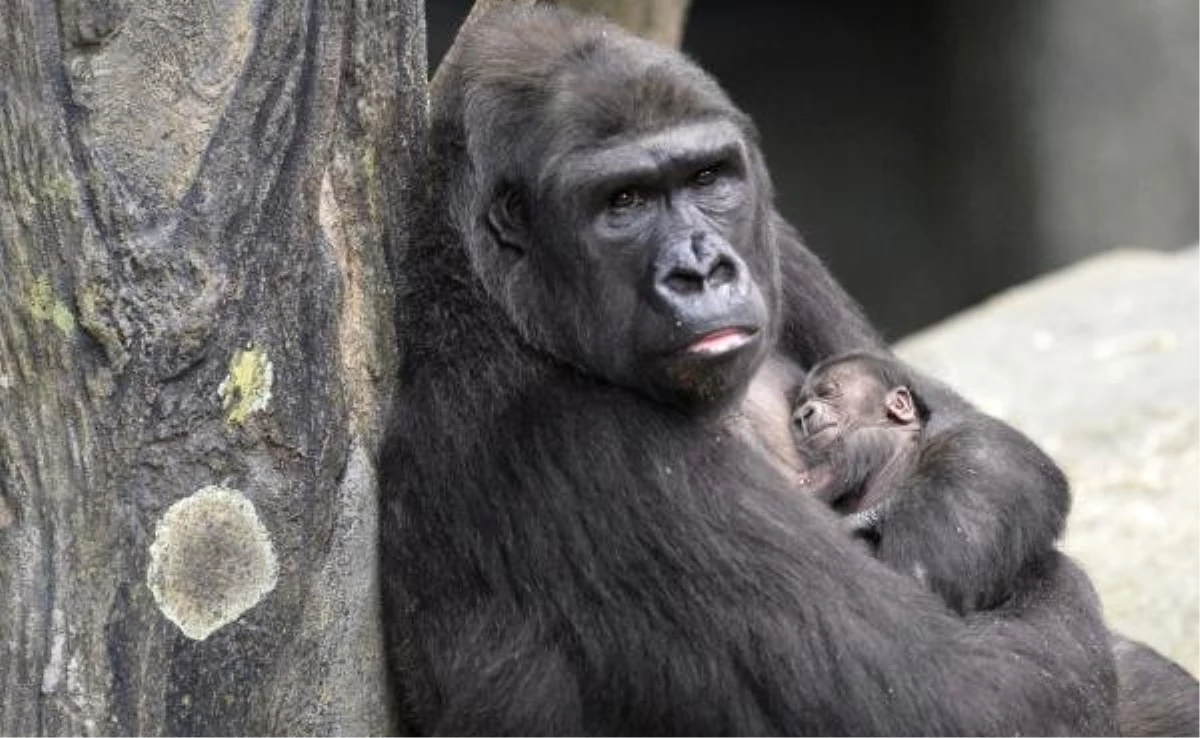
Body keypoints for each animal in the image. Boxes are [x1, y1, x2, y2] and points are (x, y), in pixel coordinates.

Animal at [381, 7, 1113, 738]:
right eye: (623, 201)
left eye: (707, 178)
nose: (702, 271)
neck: (500, 296)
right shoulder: (567, 438)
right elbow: (949, 696)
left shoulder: (777, 242)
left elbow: (958, 424)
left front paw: (934, 536)